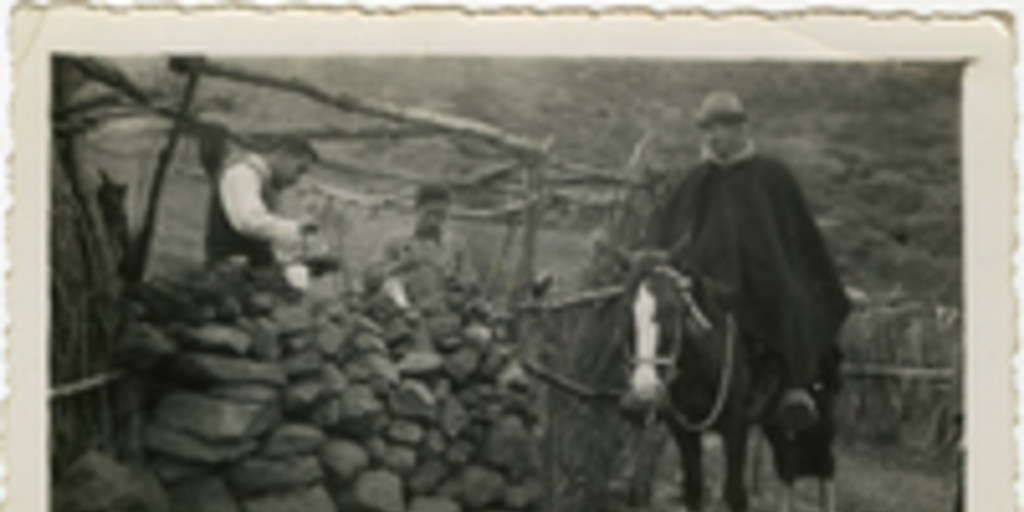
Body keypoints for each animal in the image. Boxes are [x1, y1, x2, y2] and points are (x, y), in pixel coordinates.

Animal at [606, 245, 839, 509]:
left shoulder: (736, 426)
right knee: (787, 466)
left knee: (826, 466)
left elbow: (735, 495)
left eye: (675, 310)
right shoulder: (683, 431)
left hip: (822, 417)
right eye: (624, 311)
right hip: (774, 421)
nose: (641, 401)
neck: (704, 365)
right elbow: (693, 489)